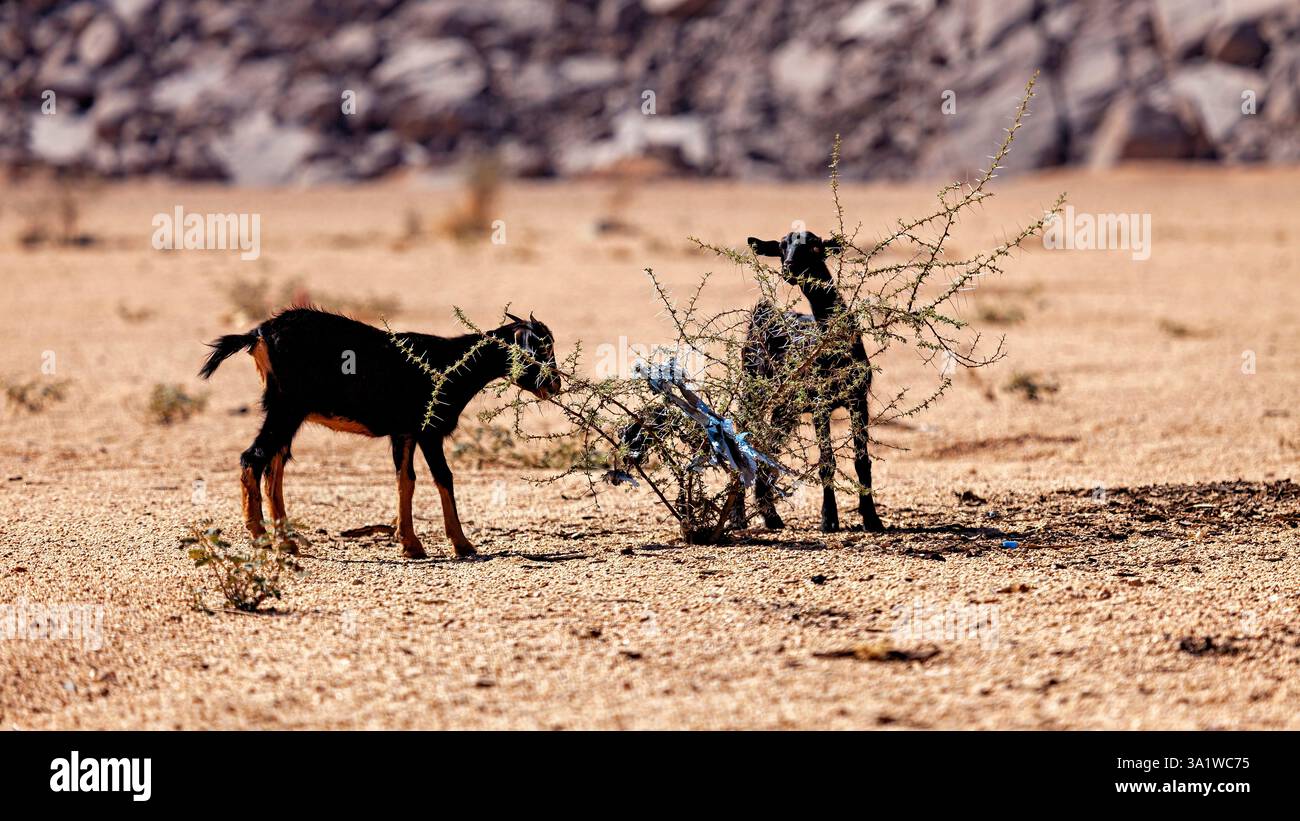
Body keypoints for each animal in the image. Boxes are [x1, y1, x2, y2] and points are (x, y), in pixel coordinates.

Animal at [199, 307, 561, 559]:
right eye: (540, 349)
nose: (555, 384)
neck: (451, 362)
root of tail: (258, 334)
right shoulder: (428, 431)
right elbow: (443, 477)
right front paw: (462, 544)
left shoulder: (403, 433)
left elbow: (406, 479)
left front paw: (411, 544)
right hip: (287, 408)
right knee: (254, 457)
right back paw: (260, 536)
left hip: (286, 412)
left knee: (274, 464)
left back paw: (286, 541)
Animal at [738, 231, 885, 533]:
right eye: (781, 247)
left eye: (815, 245)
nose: (790, 268)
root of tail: (761, 314)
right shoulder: (820, 403)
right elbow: (826, 461)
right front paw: (828, 520)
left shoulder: (858, 399)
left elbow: (861, 461)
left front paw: (872, 518)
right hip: (752, 391)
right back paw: (738, 518)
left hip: (785, 409)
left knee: (768, 448)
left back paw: (771, 517)